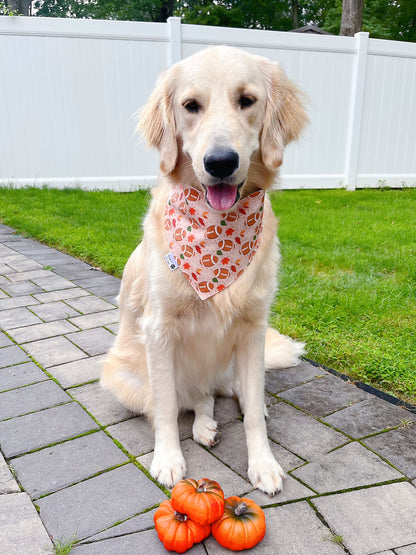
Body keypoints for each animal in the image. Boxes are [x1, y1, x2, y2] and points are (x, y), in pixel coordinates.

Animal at [101, 44, 306, 496]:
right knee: (192, 399)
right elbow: (164, 407)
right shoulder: (159, 329)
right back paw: (203, 426)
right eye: (191, 106)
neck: (218, 234)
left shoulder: (253, 328)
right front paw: (167, 458)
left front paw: (263, 463)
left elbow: (252, 413)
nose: (220, 162)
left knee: (225, 392)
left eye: (247, 100)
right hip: (122, 376)